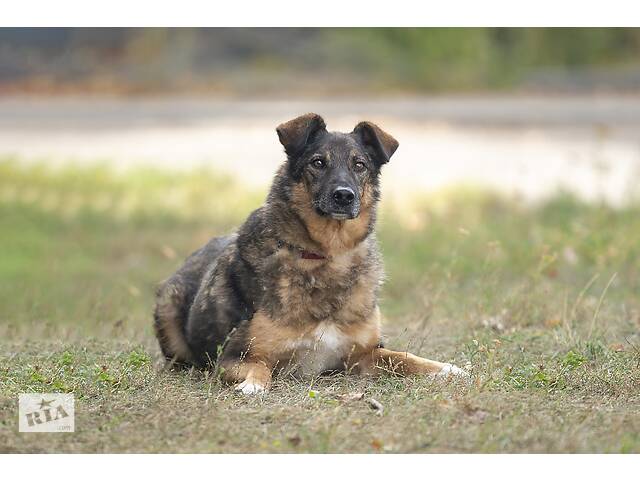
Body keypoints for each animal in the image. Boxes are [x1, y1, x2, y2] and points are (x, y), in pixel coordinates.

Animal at [154, 112, 464, 394]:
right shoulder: (235, 356)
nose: (344, 195)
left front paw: (447, 368)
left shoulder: (365, 354)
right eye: (318, 162)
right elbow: (260, 368)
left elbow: (404, 357)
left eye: (359, 165)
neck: (327, 254)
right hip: (168, 307)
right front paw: (253, 386)